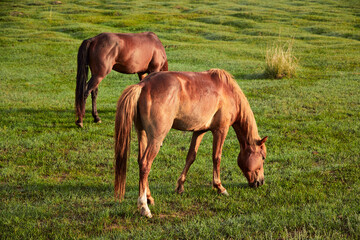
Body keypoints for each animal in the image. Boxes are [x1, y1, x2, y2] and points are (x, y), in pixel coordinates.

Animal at [114, 68, 268, 217]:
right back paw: (144, 207)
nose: (260, 182)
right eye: (263, 157)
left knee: (141, 161)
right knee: (146, 164)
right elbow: (216, 158)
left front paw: (180, 186)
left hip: (142, 133)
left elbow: (191, 157)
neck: (228, 92)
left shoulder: (199, 131)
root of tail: (143, 85)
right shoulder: (221, 130)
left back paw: (149, 197)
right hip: (156, 138)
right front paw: (220, 187)